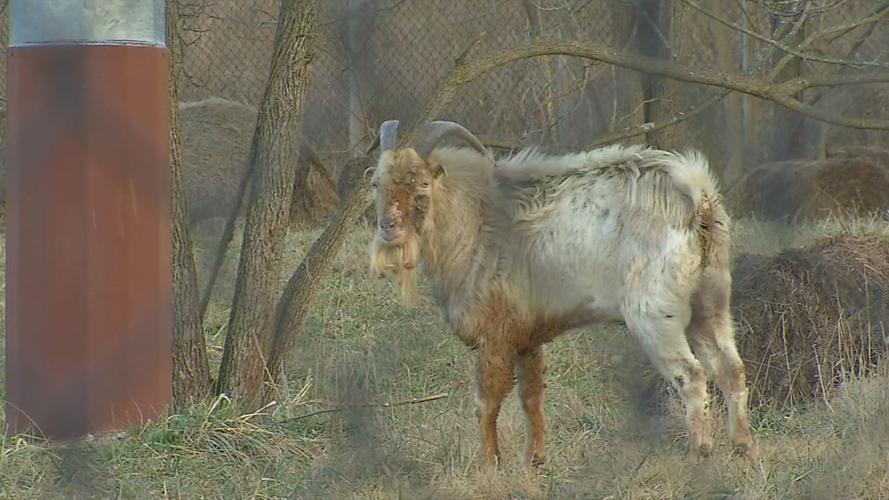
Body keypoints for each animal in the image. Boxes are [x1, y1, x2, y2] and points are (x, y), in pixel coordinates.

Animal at [367, 119, 757, 467]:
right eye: (377, 183)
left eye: (421, 183)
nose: (388, 226)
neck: (475, 218)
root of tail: (695, 197)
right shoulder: (526, 337)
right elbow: (531, 397)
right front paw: (534, 460)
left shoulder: (495, 336)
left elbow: (486, 402)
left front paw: (488, 464)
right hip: (711, 304)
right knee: (730, 369)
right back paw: (744, 450)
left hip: (655, 316)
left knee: (692, 376)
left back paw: (699, 456)